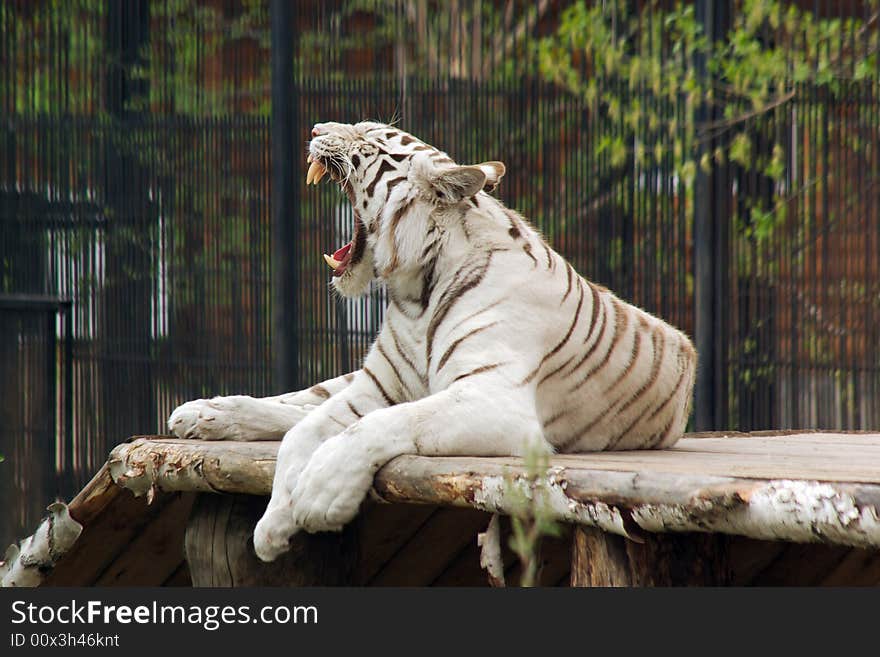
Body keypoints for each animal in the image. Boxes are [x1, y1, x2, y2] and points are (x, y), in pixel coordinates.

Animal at [168, 121, 696, 560]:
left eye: (370, 141)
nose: (315, 129)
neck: (415, 294)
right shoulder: (375, 386)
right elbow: (305, 431)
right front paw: (273, 525)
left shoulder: (494, 400)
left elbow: (381, 424)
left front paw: (319, 495)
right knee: (295, 405)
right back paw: (202, 414)